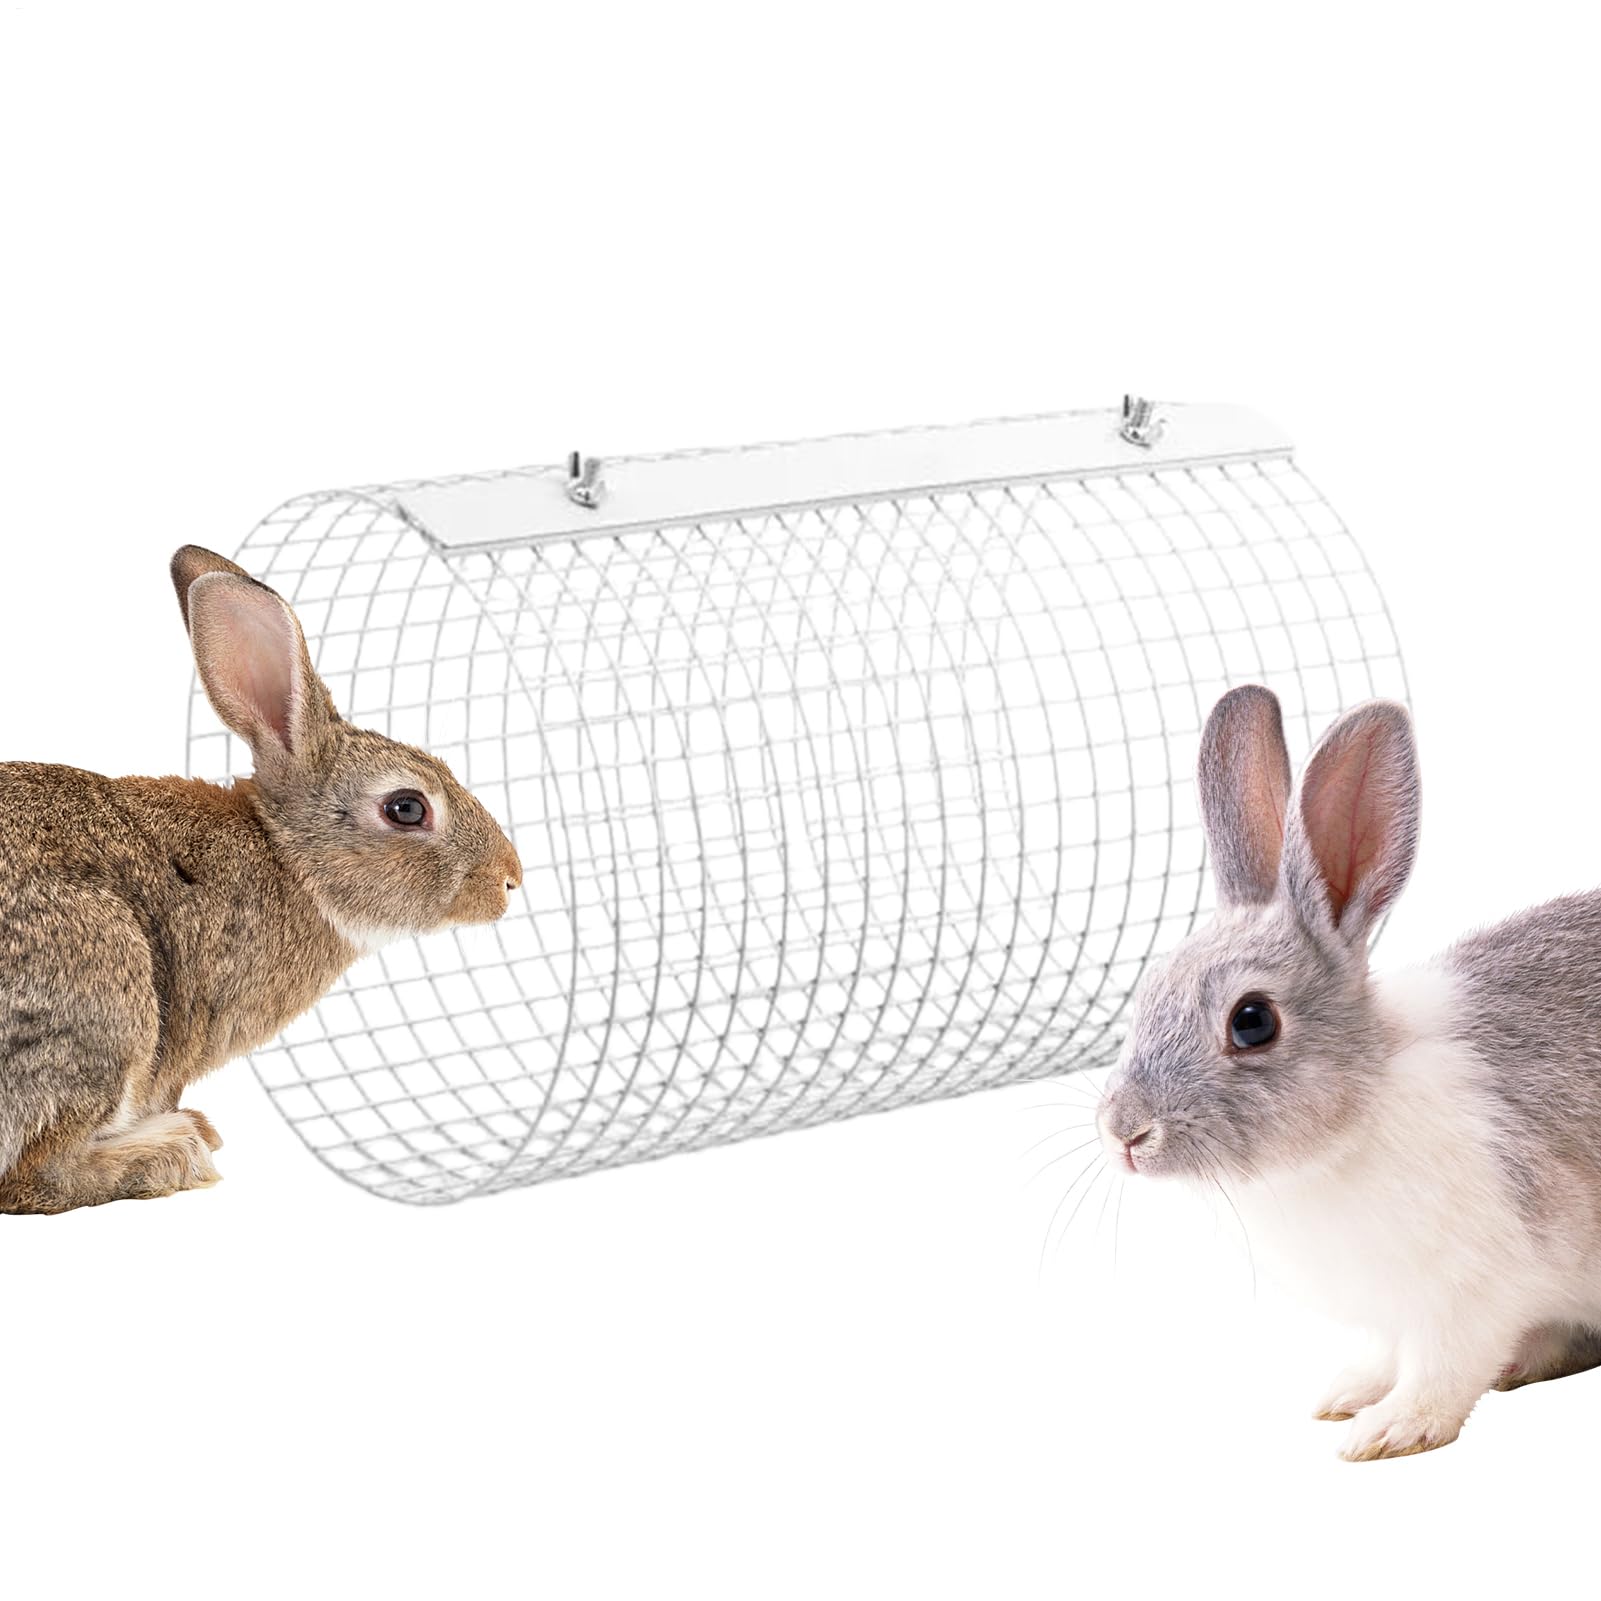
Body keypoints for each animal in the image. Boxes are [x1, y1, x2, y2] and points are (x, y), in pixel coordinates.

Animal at [0, 545, 523, 1215]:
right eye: (407, 808)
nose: (510, 878)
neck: (284, 855)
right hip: (104, 984)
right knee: (35, 1176)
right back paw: (172, 1151)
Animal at [1096, 683, 1601, 1460]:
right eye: (1148, 990)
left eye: (1251, 1021)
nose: (1123, 1132)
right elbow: (1386, 1356)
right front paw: (1345, 1395)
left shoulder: (1471, 1294)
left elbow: (1443, 1370)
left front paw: (1390, 1430)